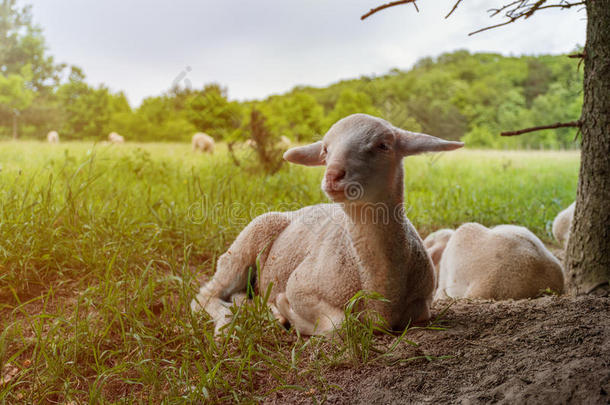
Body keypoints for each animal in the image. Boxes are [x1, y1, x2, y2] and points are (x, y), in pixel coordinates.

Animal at [192, 113, 464, 334]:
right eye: (325, 150)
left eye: (383, 145)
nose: (333, 176)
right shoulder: (299, 286)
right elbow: (338, 324)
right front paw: (286, 310)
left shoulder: (422, 306)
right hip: (244, 244)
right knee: (204, 296)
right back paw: (228, 324)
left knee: (236, 294)